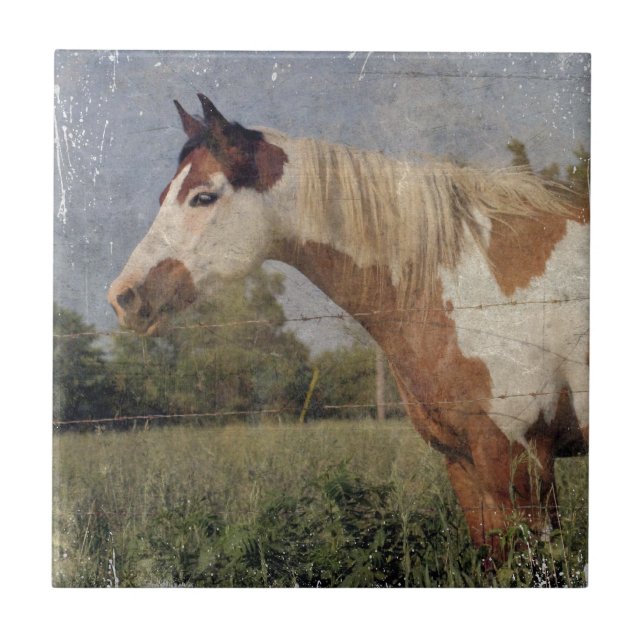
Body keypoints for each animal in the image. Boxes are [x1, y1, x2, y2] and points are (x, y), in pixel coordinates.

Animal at [108, 94, 589, 555]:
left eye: (203, 197)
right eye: (164, 195)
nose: (124, 297)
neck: (469, 282)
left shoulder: (519, 462)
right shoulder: (464, 463)